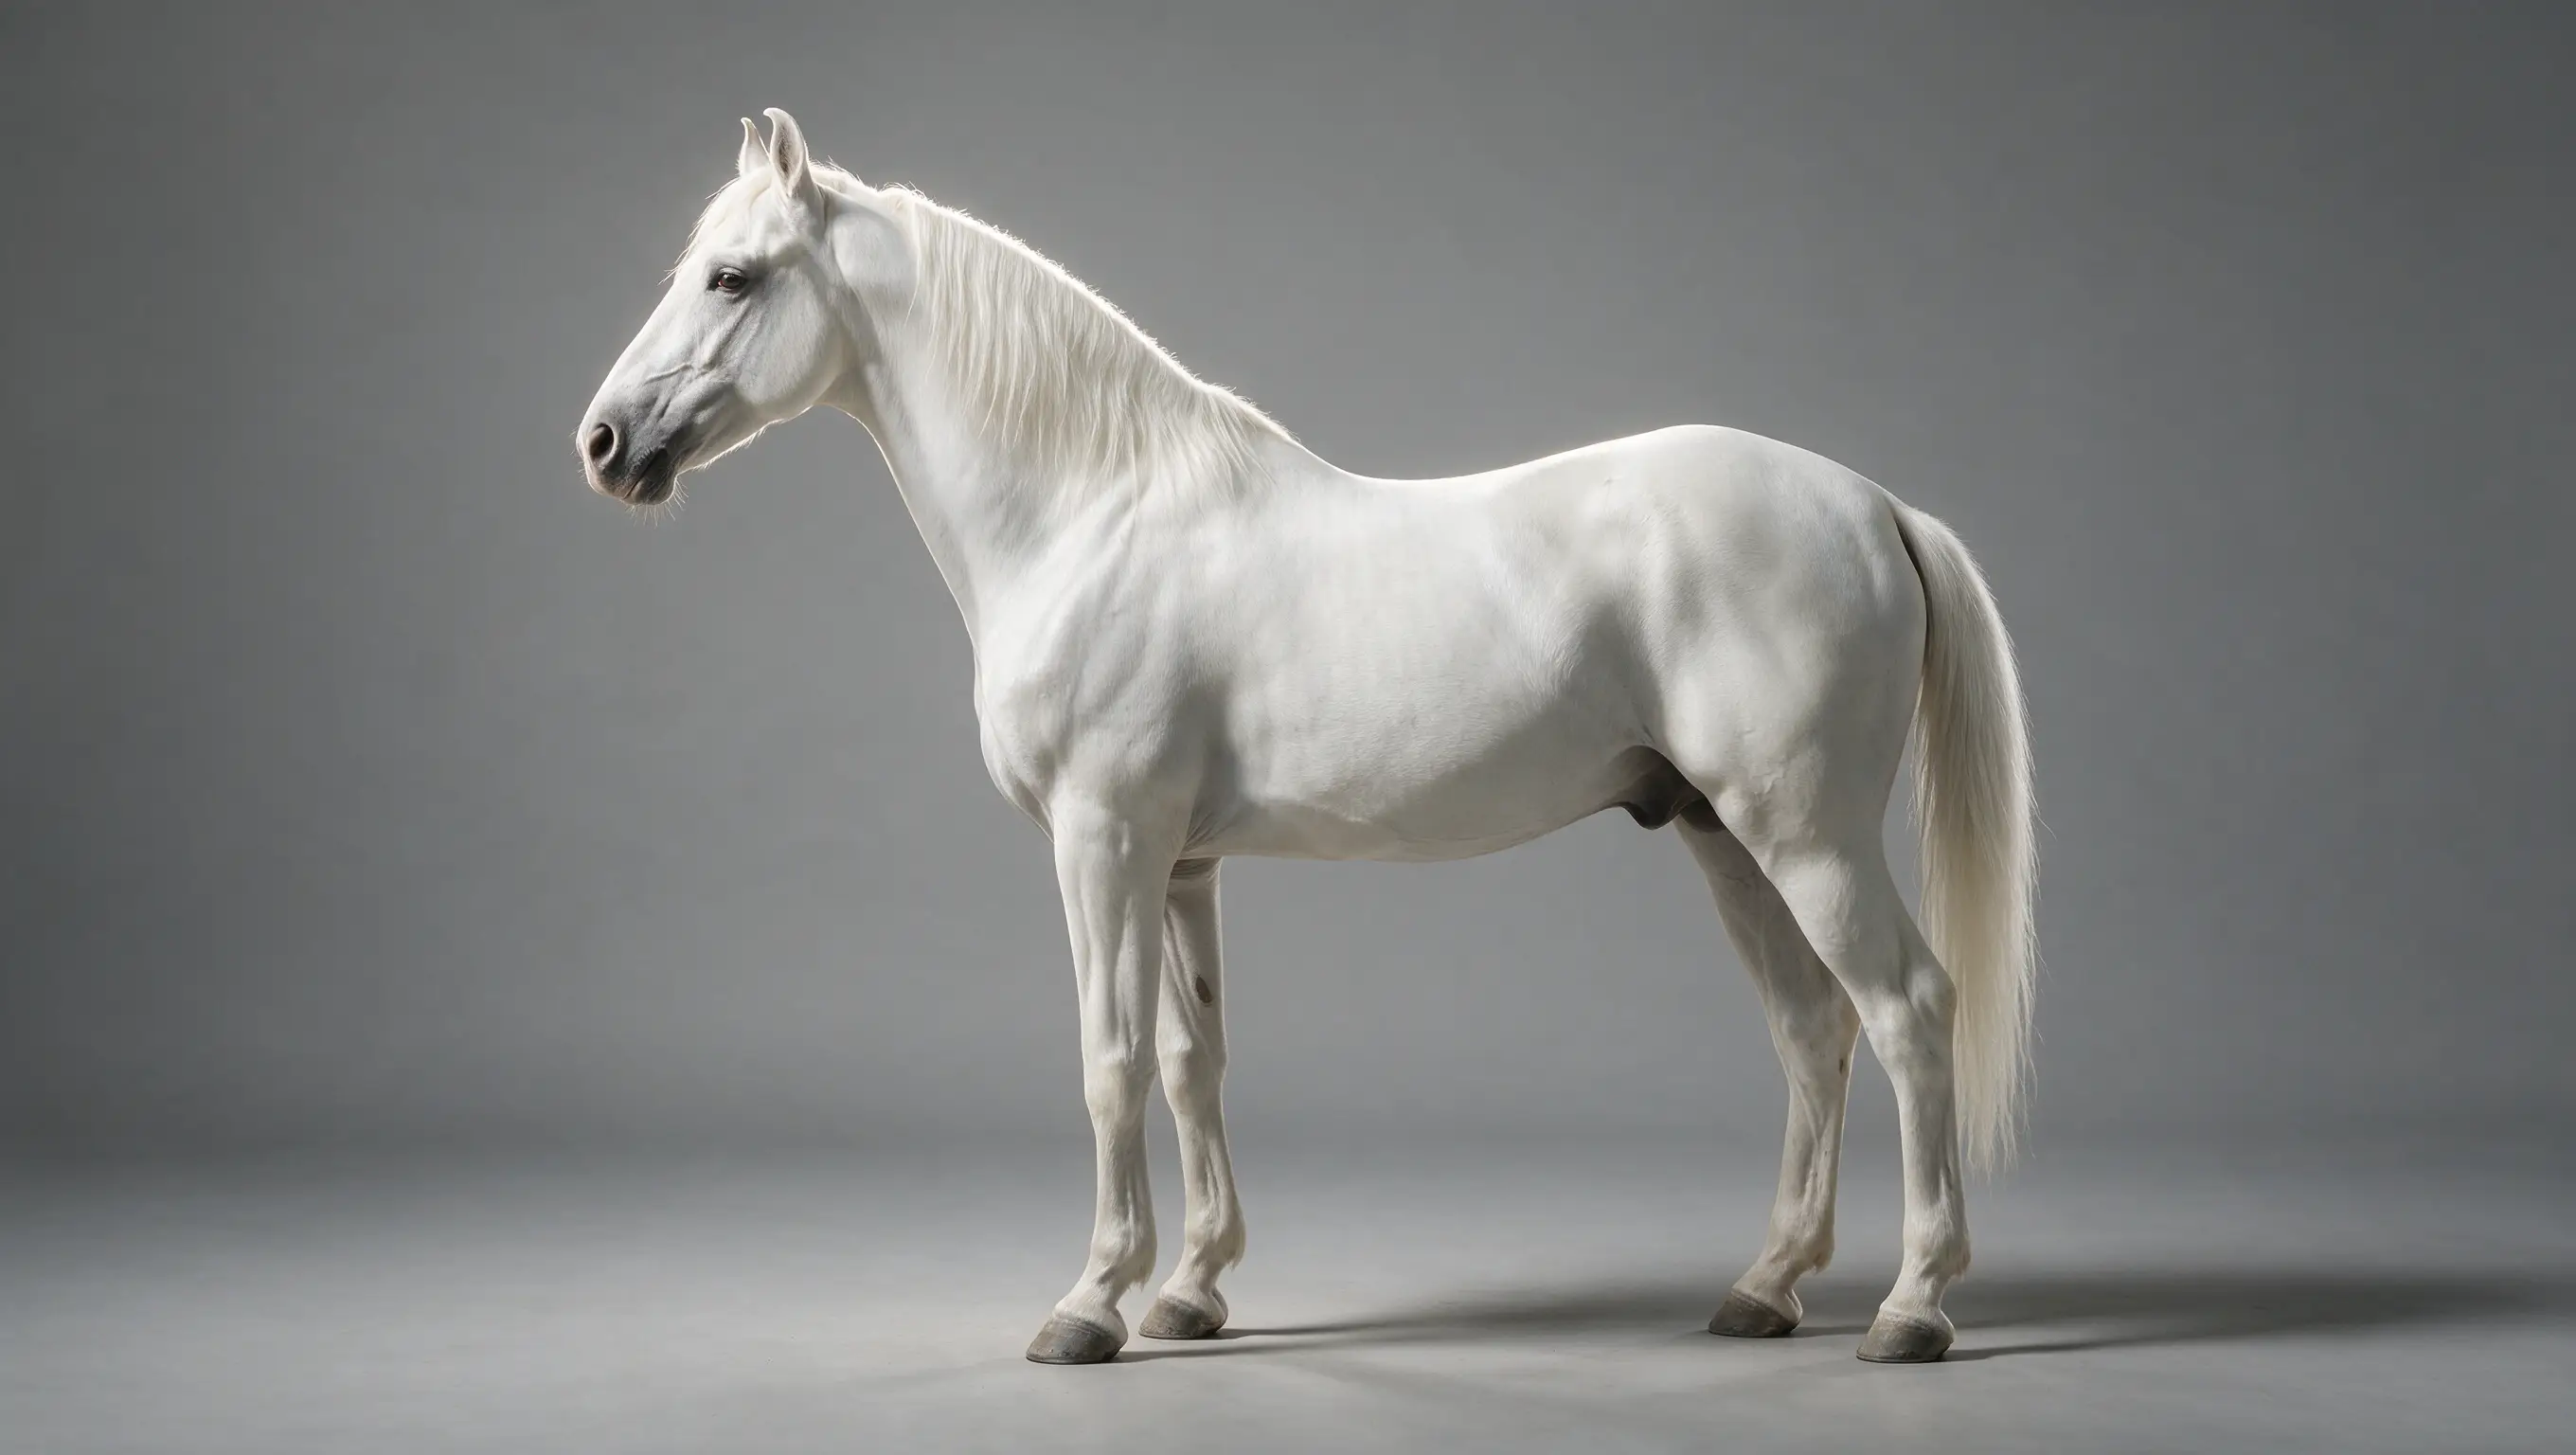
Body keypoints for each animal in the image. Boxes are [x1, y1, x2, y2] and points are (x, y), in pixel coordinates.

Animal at [576, 110, 2036, 1366]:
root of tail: (1872, 504)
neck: (1092, 511)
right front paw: (1189, 1291)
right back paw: (1764, 1288)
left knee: (1906, 1012)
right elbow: (1190, 1063)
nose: (603, 442)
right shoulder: (1179, 864)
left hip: (1808, 837)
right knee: (1810, 1031)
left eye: (731, 277)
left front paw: (1090, 1304)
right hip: (1723, 835)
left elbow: (1109, 1063)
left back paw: (1910, 1308)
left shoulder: (1101, 843)